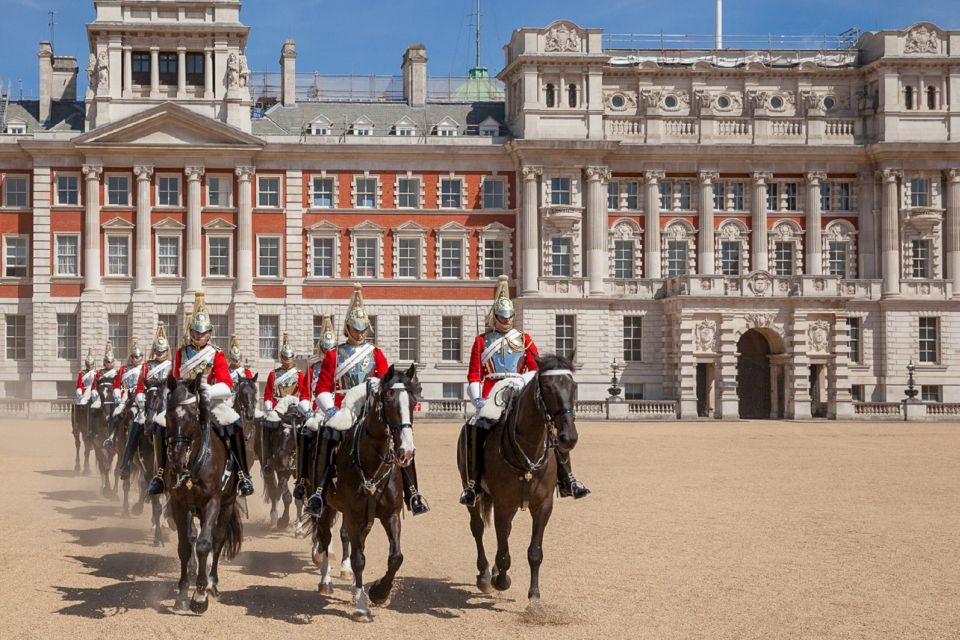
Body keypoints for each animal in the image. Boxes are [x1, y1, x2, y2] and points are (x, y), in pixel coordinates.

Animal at [163, 378, 244, 612]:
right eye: (167, 415)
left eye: (192, 415)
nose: (176, 462)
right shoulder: (179, 504)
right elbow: (184, 545)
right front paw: (182, 593)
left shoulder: (212, 502)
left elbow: (204, 544)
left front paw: (199, 596)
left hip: (227, 504)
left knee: (218, 540)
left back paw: (212, 583)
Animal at [316, 364, 420, 620]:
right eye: (389, 399)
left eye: (414, 401)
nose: (406, 452)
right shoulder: (353, 515)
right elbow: (358, 559)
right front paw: (362, 606)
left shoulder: (390, 515)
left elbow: (396, 557)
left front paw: (379, 592)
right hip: (325, 507)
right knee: (325, 538)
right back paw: (326, 580)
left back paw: (356, 587)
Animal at [456, 356, 576, 600]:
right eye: (547, 388)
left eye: (574, 387)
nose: (568, 438)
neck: (529, 450)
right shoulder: (503, 504)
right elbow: (504, 553)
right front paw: (501, 580)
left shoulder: (543, 505)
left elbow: (534, 552)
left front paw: (534, 596)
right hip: (472, 492)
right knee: (478, 528)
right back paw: (485, 574)